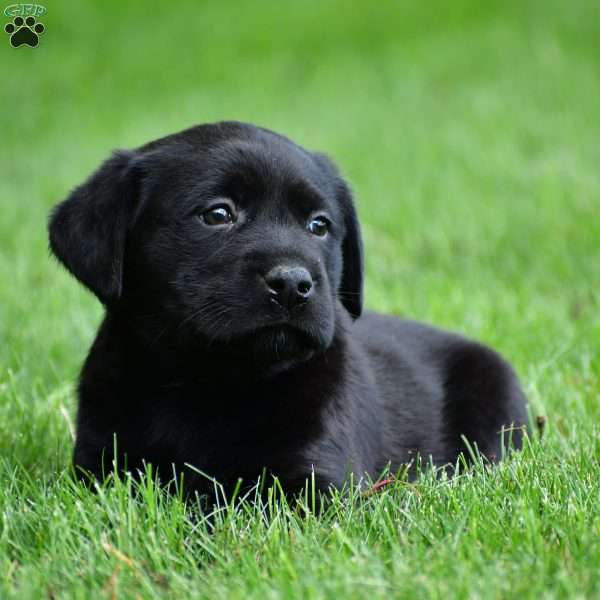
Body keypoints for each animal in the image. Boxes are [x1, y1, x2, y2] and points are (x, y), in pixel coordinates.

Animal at [52, 120, 528, 496]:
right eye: (217, 214)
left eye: (319, 225)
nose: (294, 284)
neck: (207, 382)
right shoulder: (101, 467)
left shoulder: (315, 480)